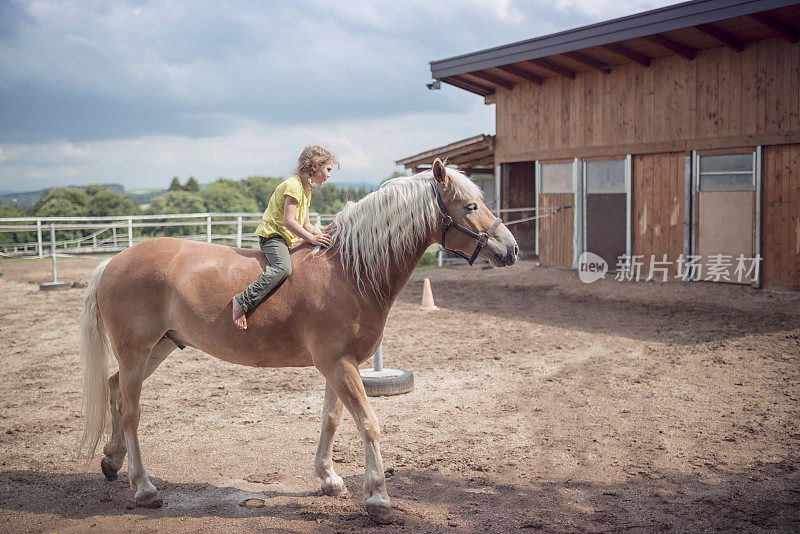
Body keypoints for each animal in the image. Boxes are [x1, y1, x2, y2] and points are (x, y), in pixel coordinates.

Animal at [79, 159, 520, 524]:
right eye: (470, 206)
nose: (511, 248)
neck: (348, 271)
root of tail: (112, 262)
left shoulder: (340, 364)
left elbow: (332, 419)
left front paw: (329, 479)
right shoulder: (338, 364)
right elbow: (368, 422)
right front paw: (377, 497)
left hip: (159, 347)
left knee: (116, 390)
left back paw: (112, 462)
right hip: (137, 350)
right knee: (131, 411)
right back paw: (144, 488)